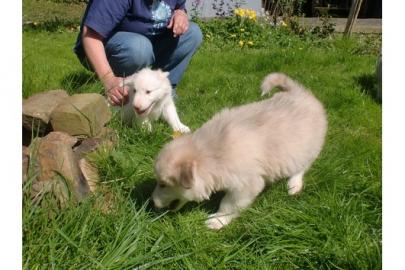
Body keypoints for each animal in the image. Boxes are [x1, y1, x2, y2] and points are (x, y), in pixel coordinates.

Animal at [151, 73, 326, 229]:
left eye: (163, 184)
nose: (151, 202)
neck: (211, 153)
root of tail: (299, 91)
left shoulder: (246, 185)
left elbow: (228, 204)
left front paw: (217, 221)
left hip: (306, 148)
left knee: (301, 168)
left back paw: (293, 185)